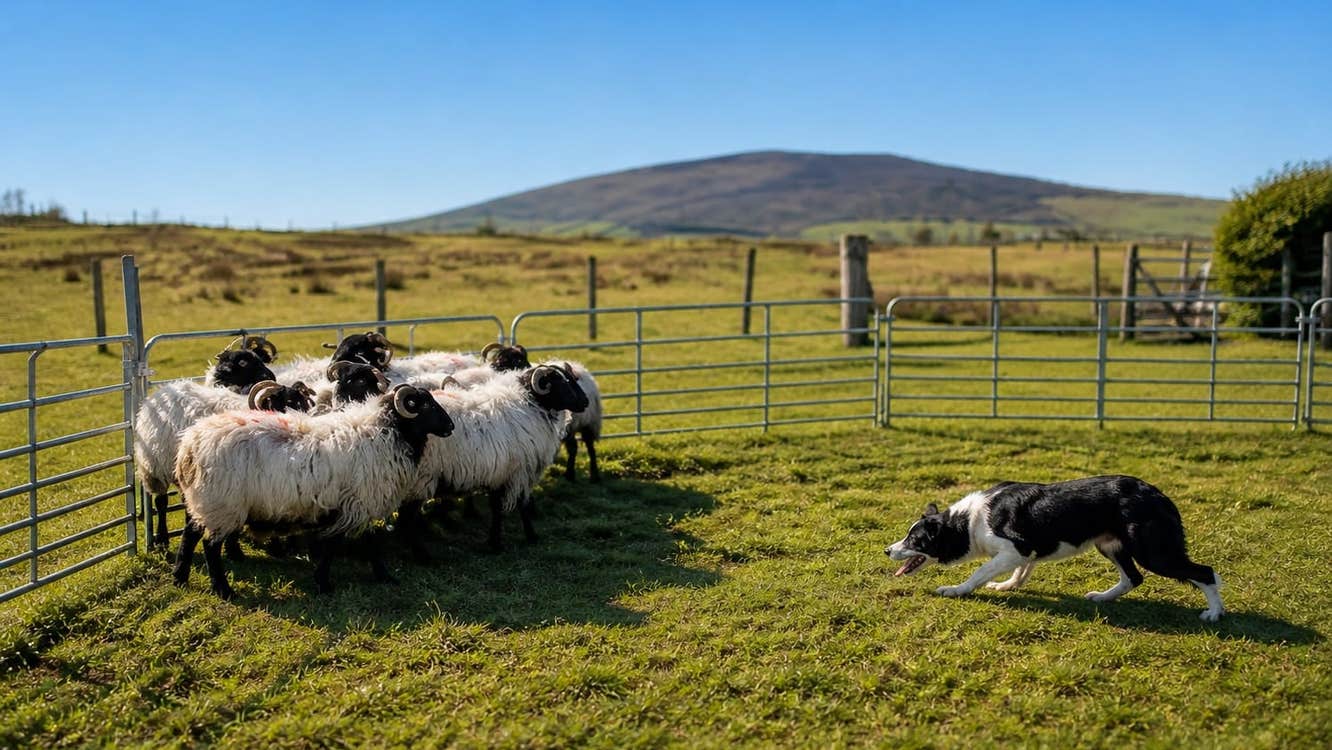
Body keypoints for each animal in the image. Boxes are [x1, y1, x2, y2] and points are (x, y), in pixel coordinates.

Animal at [172, 384, 454, 599]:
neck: (386, 433)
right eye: (424, 405)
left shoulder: (352, 505)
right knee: (210, 545)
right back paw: (223, 590)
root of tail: (189, 446)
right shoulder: (359, 502)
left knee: (189, 535)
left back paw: (180, 577)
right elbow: (351, 544)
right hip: (222, 504)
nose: (450, 426)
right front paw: (334, 582)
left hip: (204, 501)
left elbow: (353, 543)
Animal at [401, 363, 588, 555]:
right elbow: (521, 505)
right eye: (559, 382)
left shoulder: (499, 473)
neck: (530, 405)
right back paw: (420, 552)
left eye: (571, 378)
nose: (585, 402)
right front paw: (528, 536)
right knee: (407, 518)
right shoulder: (518, 472)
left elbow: (496, 508)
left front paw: (494, 541)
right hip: (420, 479)